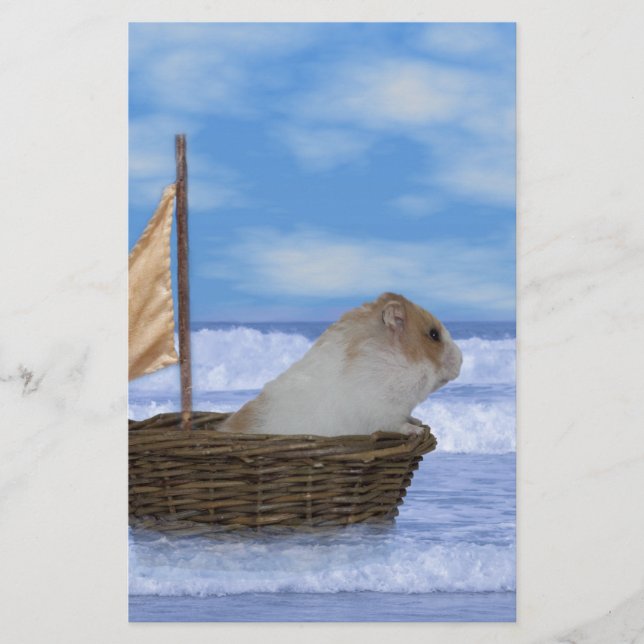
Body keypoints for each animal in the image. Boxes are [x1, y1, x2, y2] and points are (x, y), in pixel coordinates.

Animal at [220, 293, 462, 437]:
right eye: (433, 334)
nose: (462, 359)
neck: (393, 364)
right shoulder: (382, 414)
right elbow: (397, 425)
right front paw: (417, 431)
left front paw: (419, 421)